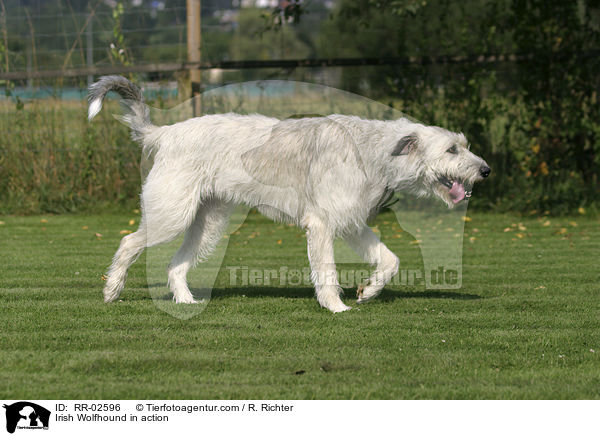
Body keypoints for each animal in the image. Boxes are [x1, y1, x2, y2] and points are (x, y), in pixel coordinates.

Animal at [90, 76, 492, 314]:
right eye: (452, 150)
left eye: (463, 144)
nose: (486, 170)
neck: (372, 150)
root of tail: (164, 133)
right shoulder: (323, 225)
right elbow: (326, 271)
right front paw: (336, 307)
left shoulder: (351, 224)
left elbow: (390, 261)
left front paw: (368, 292)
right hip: (171, 215)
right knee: (128, 242)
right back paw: (112, 292)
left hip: (208, 223)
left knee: (175, 265)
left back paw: (186, 301)